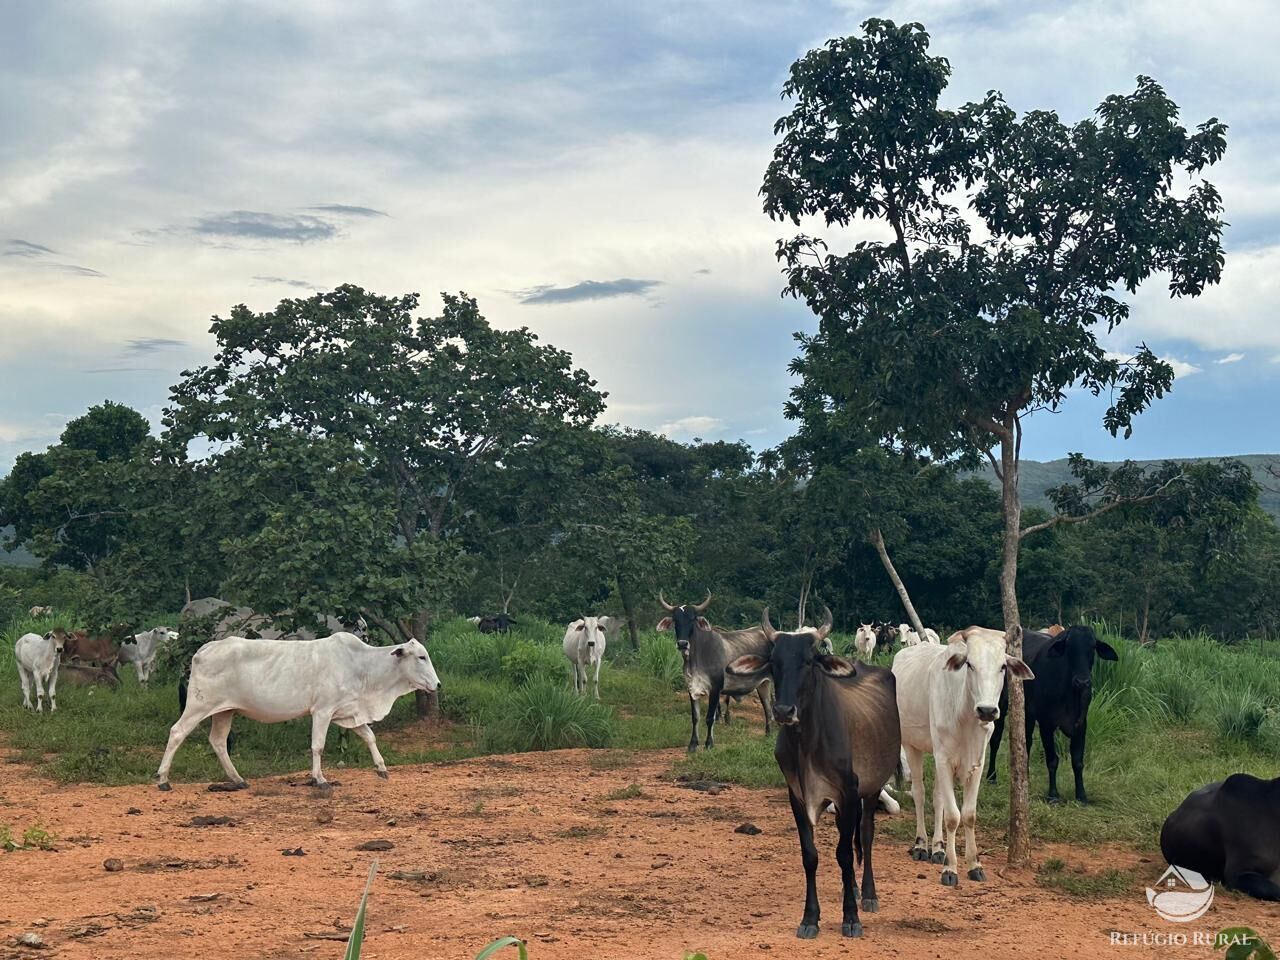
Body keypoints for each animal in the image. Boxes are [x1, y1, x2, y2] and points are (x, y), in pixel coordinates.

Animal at [154, 634, 440, 793]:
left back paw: (238, 779)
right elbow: (318, 746)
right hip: (199, 705)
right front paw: (319, 779)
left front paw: (381, 768)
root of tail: (204, 649)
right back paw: (163, 779)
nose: (437, 685)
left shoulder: (347, 711)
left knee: (218, 741)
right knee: (177, 732)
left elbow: (369, 736)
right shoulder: (322, 710)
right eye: (421, 657)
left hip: (226, 711)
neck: (361, 666)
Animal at [660, 591, 768, 757]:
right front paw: (693, 744)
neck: (696, 658)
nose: (682, 644)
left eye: (692, 619)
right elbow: (695, 717)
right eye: (675, 620)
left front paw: (709, 744)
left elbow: (710, 717)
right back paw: (768, 733)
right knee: (768, 707)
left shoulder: (716, 688)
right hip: (763, 684)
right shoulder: (691, 688)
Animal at [732, 609, 901, 942]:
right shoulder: (797, 795)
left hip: (872, 787)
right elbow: (810, 855)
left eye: (809, 660)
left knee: (865, 834)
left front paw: (851, 917)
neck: (807, 743)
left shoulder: (848, 792)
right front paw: (810, 918)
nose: (783, 710)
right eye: (774, 660)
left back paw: (868, 894)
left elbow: (845, 854)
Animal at [983, 624, 1116, 803]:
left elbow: (1078, 761)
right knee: (996, 740)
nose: (1082, 682)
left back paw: (1025, 778)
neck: (1069, 694)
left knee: (1026, 744)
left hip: (1027, 714)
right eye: (1069, 647)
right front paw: (1053, 794)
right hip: (1001, 705)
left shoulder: (1081, 724)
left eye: (1093, 647)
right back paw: (992, 777)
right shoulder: (1046, 723)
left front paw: (1081, 795)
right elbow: (1052, 760)